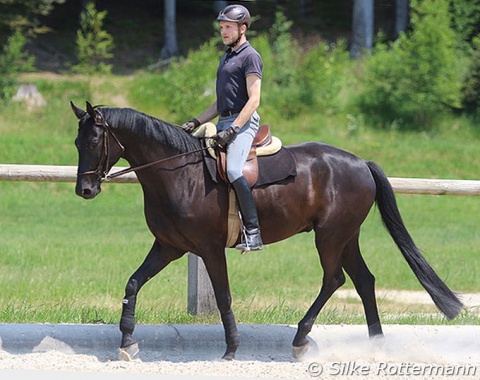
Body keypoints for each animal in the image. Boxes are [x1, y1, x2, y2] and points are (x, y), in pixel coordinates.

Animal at [69, 101, 464, 362]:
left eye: (93, 142)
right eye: (76, 143)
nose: (84, 190)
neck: (179, 173)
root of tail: (360, 163)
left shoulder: (209, 248)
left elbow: (224, 296)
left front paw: (231, 348)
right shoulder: (169, 246)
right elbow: (133, 283)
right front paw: (126, 342)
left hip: (330, 235)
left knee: (335, 278)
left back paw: (302, 337)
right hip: (346, 236)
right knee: (364, 280)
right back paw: (376, 343)